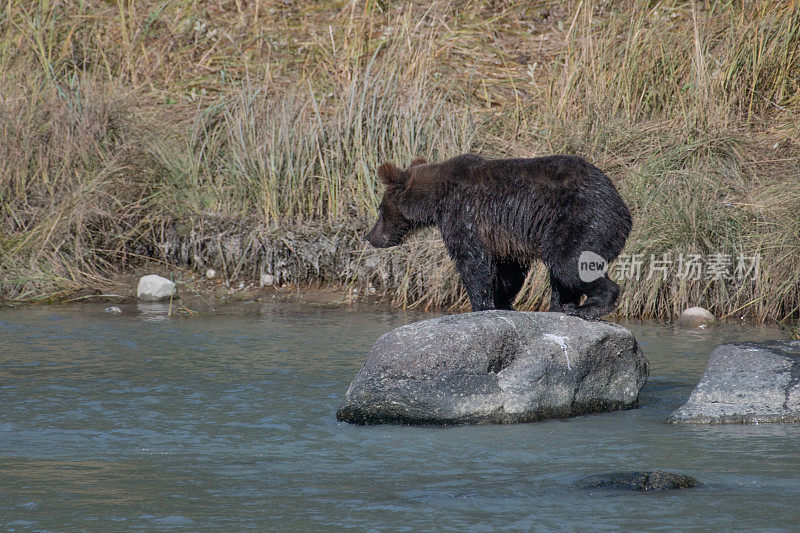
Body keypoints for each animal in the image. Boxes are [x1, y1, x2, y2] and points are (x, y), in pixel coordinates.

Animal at [366, 154, 636, 320]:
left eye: (380, 209)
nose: (370, 236)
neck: (437, 199)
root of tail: (623, 209)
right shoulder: (506, 238)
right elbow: (509, 270)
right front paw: (502, 302)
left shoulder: (465, 214)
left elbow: (472, 262)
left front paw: (480, 305)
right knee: (560, 274)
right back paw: (559, 307)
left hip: (582, 219)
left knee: (569, 263)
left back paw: (587, 308)